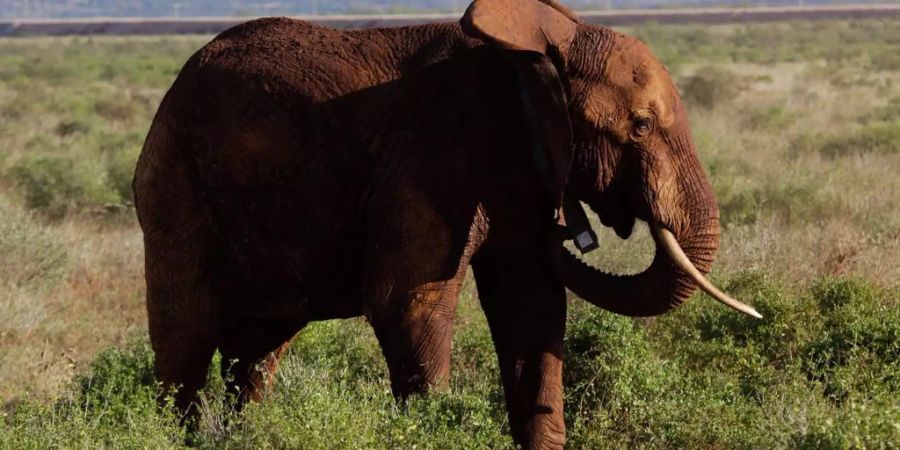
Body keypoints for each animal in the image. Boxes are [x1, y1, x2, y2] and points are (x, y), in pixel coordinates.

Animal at [130, 1, 756, 448]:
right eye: (641, 126)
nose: (574, 229)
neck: (532, 57)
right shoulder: (430, 155)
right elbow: (407, 302)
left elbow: (531, 305)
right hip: (175, 187)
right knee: (185, 341)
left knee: (256, 355)